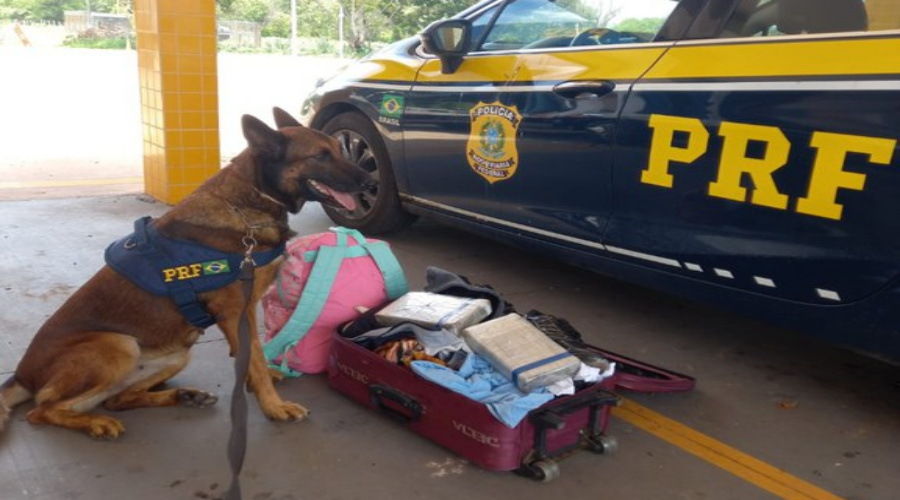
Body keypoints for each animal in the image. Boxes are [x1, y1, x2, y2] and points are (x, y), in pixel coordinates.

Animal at [0, 106, 372, 438]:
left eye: (339, 149)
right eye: (321, 156)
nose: (369, 179)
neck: (247, 202)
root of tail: (22, 375)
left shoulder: (242, 313)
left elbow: (251, 355)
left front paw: (261, 380)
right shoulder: (235, 311)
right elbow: (252, 359)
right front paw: (274, 406)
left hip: (177, 354)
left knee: (119, 399)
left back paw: (182, 396)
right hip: (119, 344)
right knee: (42, 411)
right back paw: (96, 423)